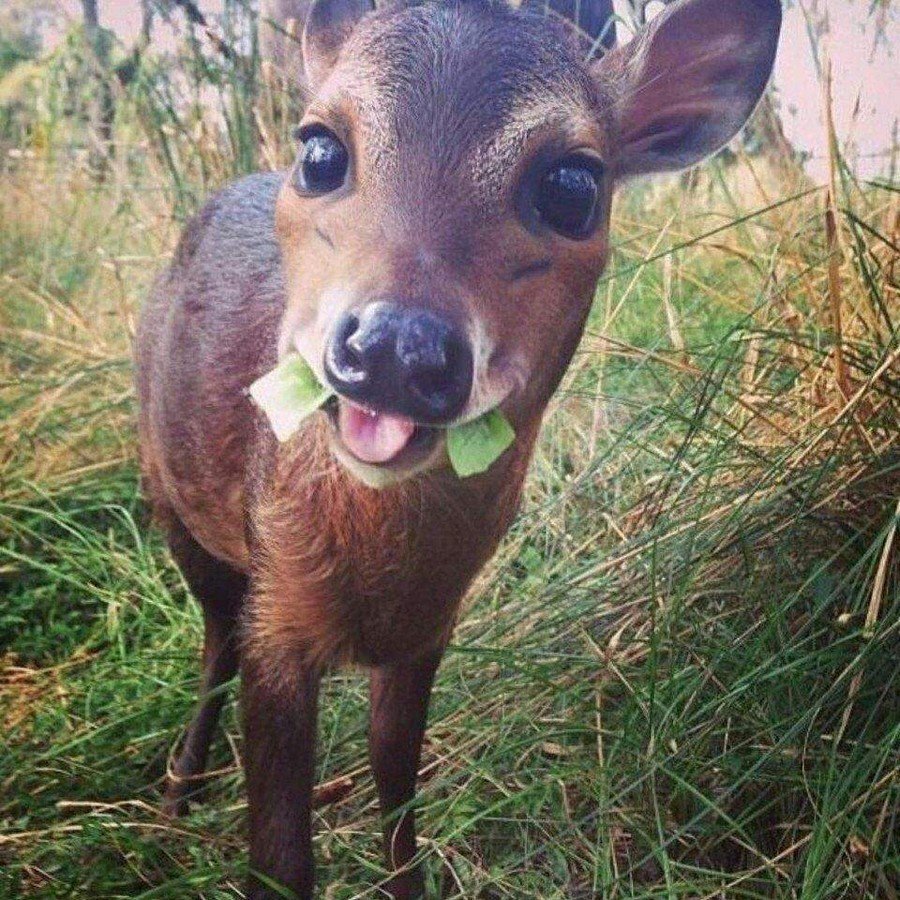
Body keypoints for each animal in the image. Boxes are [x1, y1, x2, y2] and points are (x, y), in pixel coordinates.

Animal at [135, 0, 781, 896]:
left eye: (574, 187)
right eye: (320, 150)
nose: (395, 346)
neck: (378, 578)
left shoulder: (428, 630)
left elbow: (398, 787)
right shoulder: (279, 620)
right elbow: (281, 859)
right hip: (170, 495)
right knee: (214, 642)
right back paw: (176, 797)